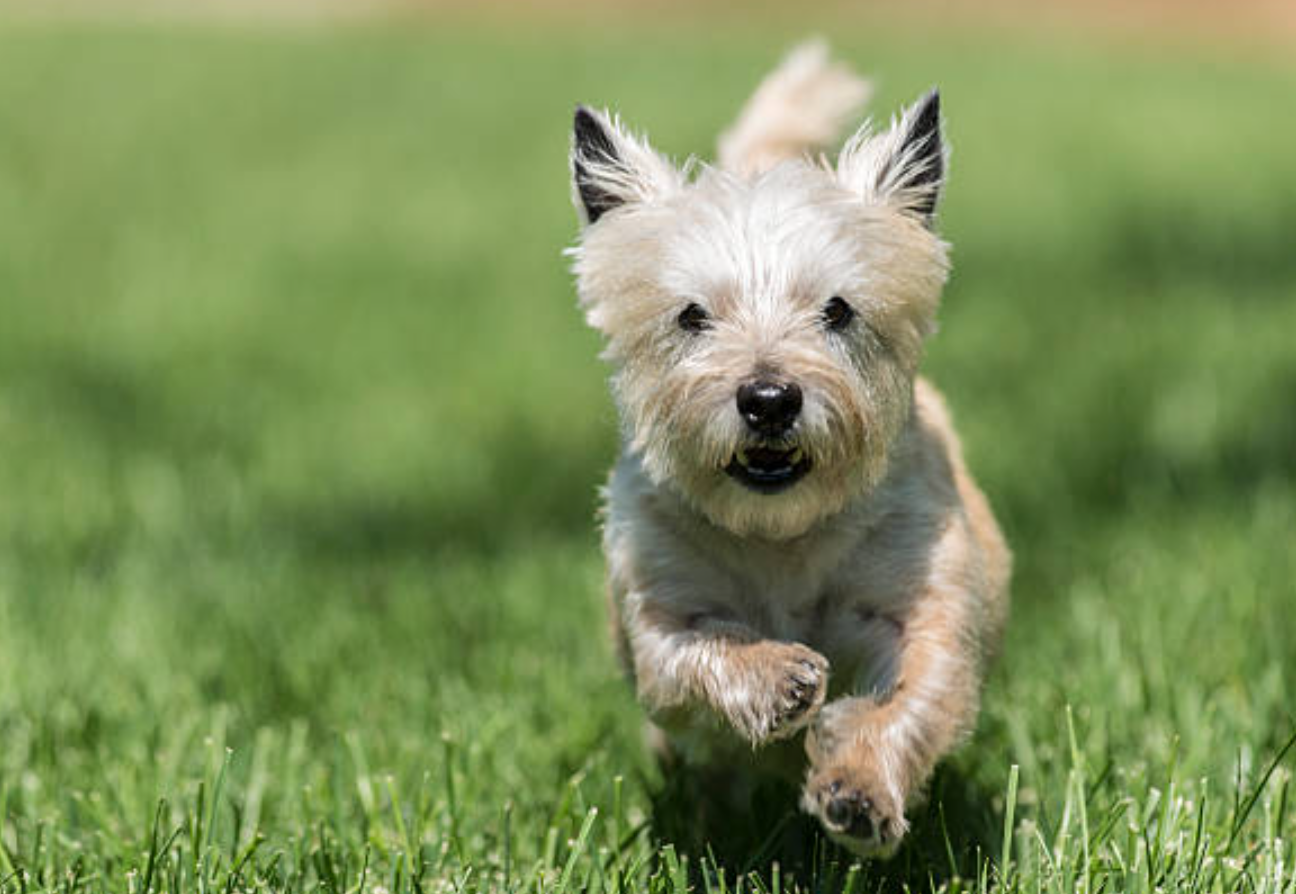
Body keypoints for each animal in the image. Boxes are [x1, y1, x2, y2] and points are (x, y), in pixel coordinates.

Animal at [567, 43, 1010, 855]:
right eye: (691, 316)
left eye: (838, 310)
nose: (769, 399)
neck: (783, 536)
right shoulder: (660, 614)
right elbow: (696, 652)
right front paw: (779, 679)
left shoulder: (923, 610)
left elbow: (909, 697)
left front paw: (858, 790)